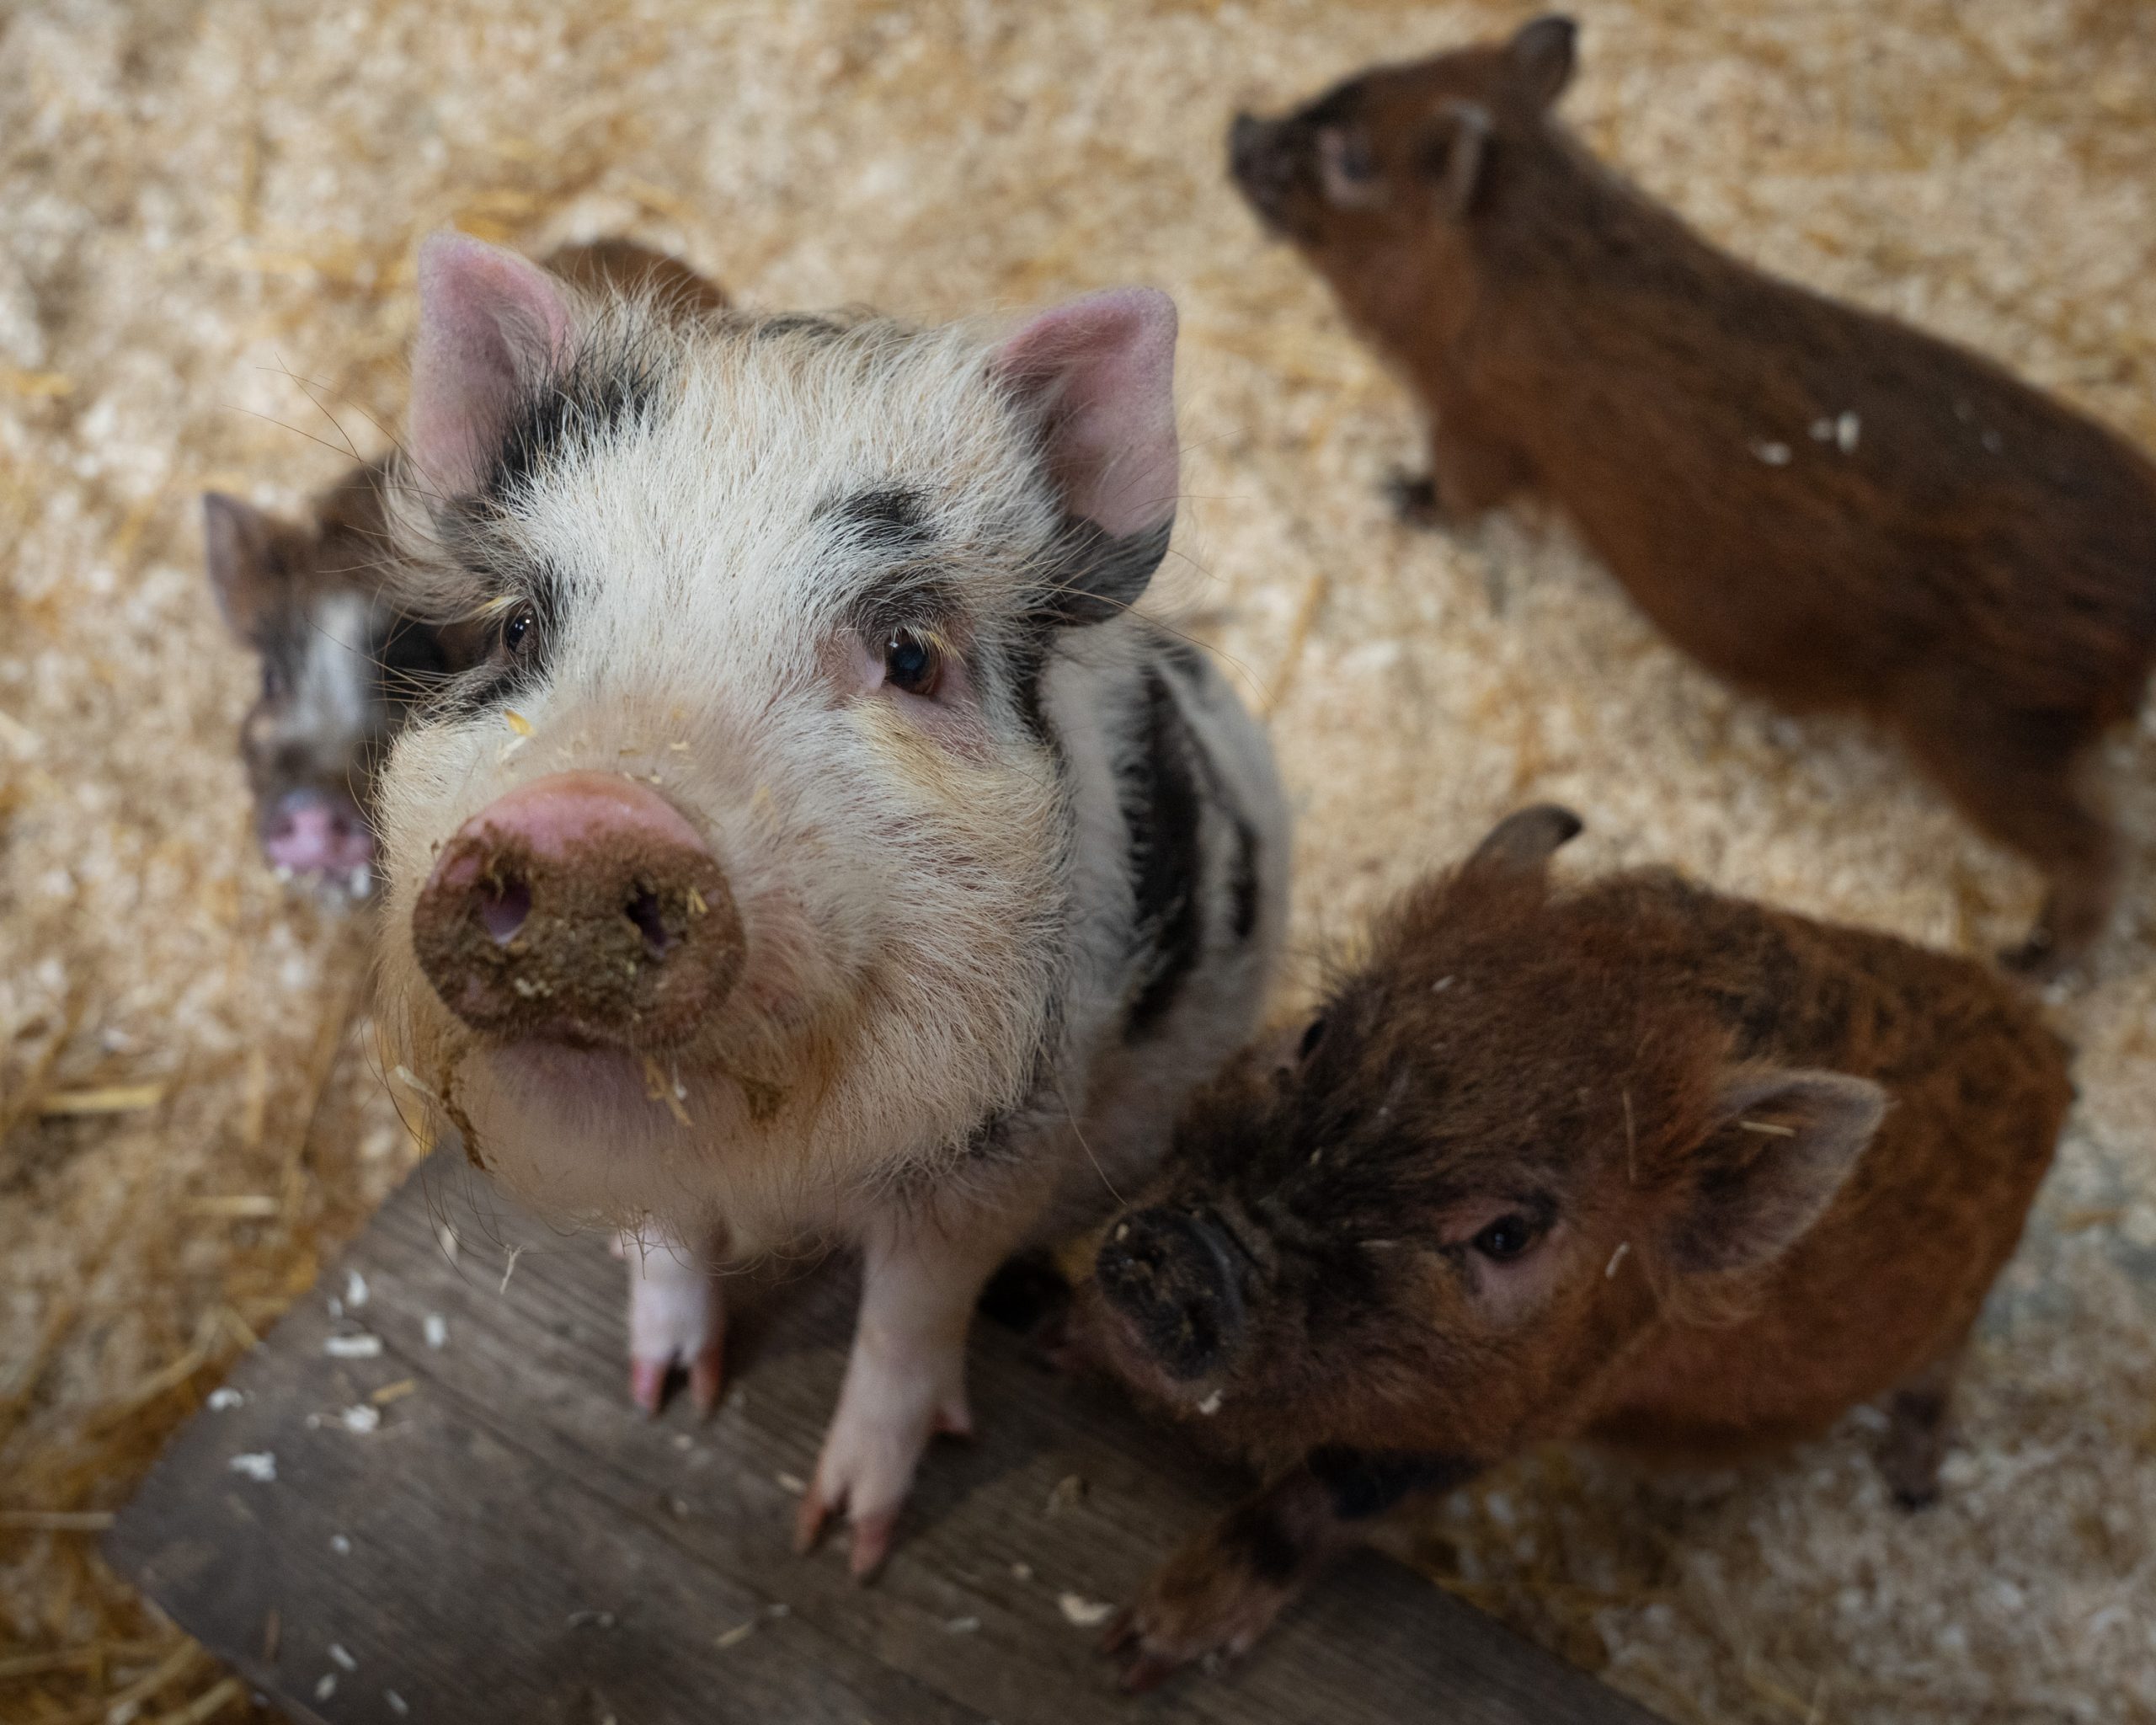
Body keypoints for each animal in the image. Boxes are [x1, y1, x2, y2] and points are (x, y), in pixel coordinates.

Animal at [371, 232, 1291, 1574]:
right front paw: (667, 1398)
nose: (587, 826)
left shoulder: (996, 1158)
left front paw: (844, 1540)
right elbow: (665, 1243)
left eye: (910, 655)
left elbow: (911, 1319)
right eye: (521, 625)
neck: (775, 1169)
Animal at [1085, 806, 2069, 1687]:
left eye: (1507, 1234)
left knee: (1941, 1368)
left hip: (1962, 1309)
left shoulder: (1517, 1412)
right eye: (1317, 1032)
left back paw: (1913, 1486)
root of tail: (2051, 1049)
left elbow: (1318, 1500)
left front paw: (1136, 1650)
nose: (1189, 1247)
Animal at [1228, 15, 2156, 977]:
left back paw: (2029, 957)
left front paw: (1395, 494)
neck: (1504, 265)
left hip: (1986, 727)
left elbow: (1459, 490)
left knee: (2102, 847)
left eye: (1351, 161)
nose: (1241, 127)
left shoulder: (1477, 422)